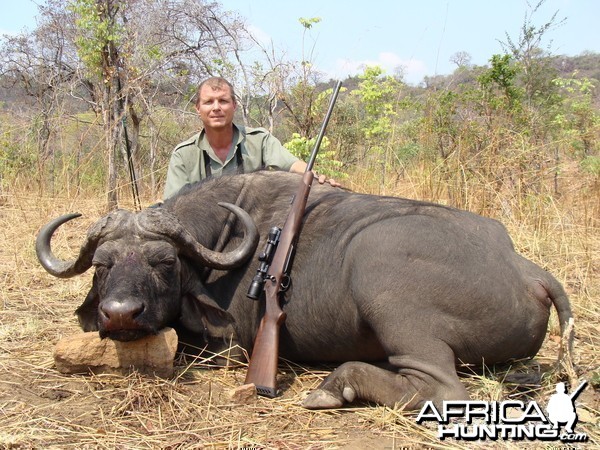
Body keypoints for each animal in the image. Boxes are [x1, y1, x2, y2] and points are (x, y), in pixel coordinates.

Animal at [36, 171, 572, 410]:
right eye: (101, 266)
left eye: (164, 262)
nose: (120, 313)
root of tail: (525, 268)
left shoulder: (228, 348)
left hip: (380, 270)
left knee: (440, 389)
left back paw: (337, 386)